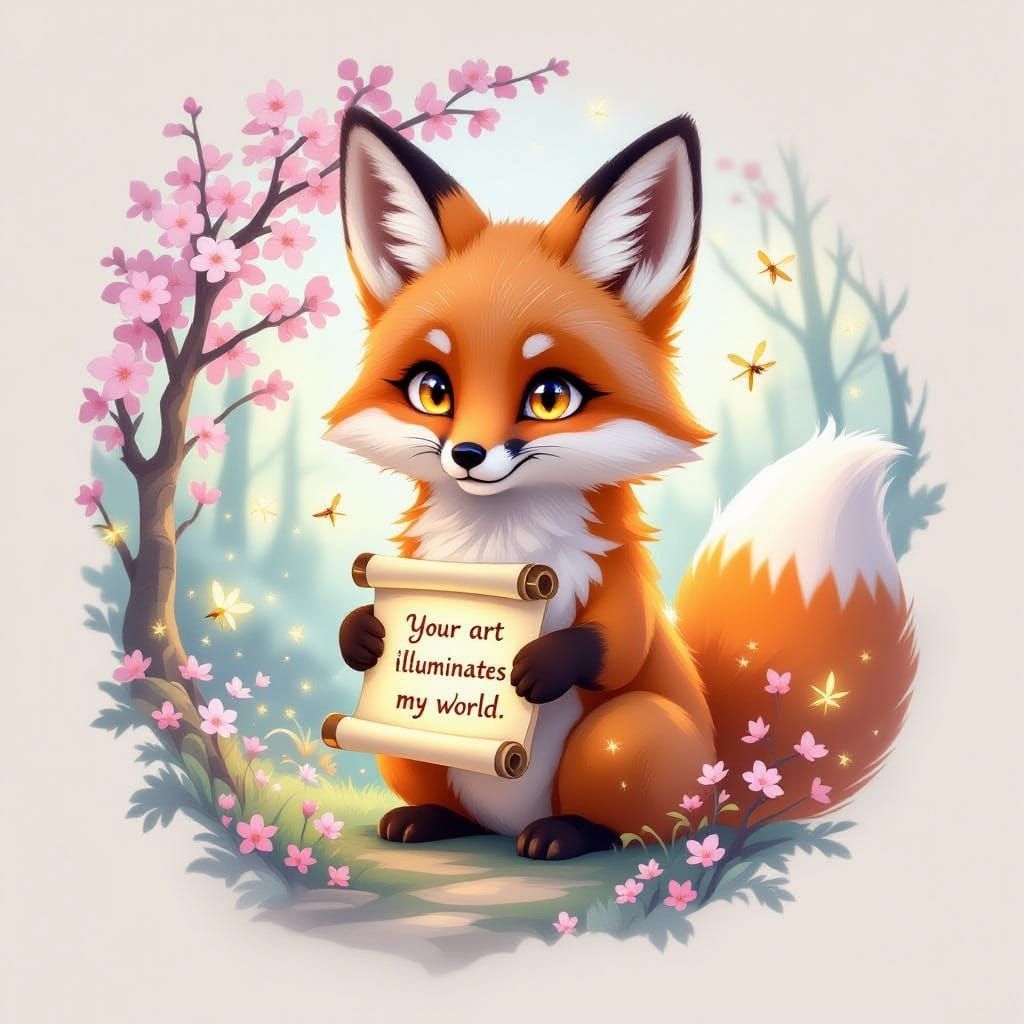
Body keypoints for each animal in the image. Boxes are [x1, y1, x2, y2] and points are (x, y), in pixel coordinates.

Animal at [325, 106, 918, 860]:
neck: (496, 541)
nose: (467, 453)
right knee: (443, 794)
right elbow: (363, 625)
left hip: (625, 735)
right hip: (412, 744)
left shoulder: (616, 581)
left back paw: (565, 835)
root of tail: (724, 774)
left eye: (551, 397)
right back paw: (426, 820)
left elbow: (618, 644)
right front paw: (362, 633)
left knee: (631, 824)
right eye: (433, 390)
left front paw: (541, 664)